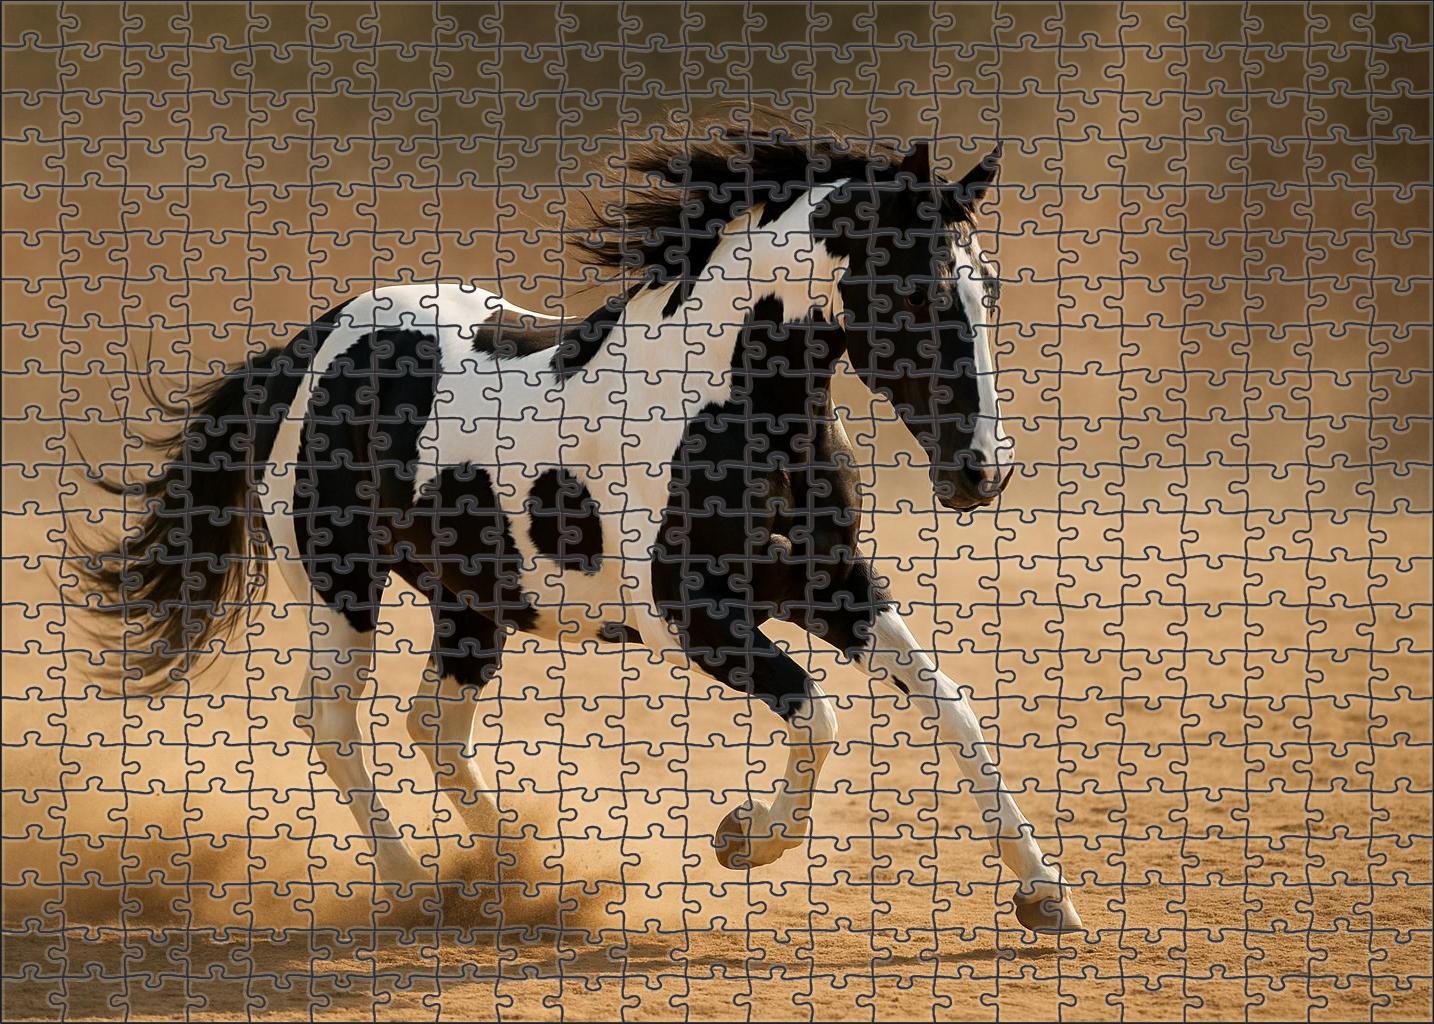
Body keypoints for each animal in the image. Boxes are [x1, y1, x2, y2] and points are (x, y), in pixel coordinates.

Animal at [77, 125, 1083, 935]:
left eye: (988, 287)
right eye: (912, 296)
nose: (981, 473)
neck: (729, 411)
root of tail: (310, 346)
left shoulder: (832, 588)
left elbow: (950, 708)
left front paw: (1047, 898)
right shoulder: (691, 622)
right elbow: (818, 714)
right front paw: (743, 839)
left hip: (473, 603)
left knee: (432, 724)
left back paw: (512, 875)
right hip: (342, 595)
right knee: (333, 722)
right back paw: (417, 887)